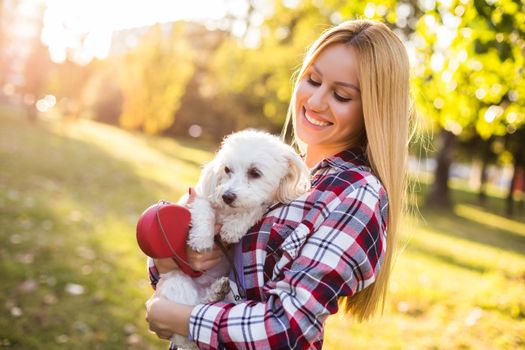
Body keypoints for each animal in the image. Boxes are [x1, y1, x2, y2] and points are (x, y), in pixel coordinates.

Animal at [158, 129, 310, 350]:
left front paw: (233, 228)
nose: (227, 196)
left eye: (255, 173)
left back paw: (216, 291)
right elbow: (204, 210)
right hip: (176, 283)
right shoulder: (199, 198)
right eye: (227, 169)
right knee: (189, 317)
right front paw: (202, 238)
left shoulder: (260, 205)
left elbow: (255, 208)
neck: (229, 211)